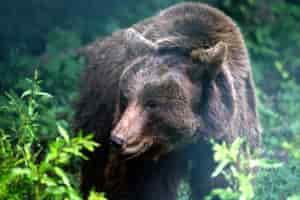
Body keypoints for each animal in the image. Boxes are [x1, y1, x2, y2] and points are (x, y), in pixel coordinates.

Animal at [74, 1, 260, 200]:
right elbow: (139, 187)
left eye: (152, 103)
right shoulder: (145, 159)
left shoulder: (223, 138)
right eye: (126, 97)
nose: (118, 139)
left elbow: (222, 182)